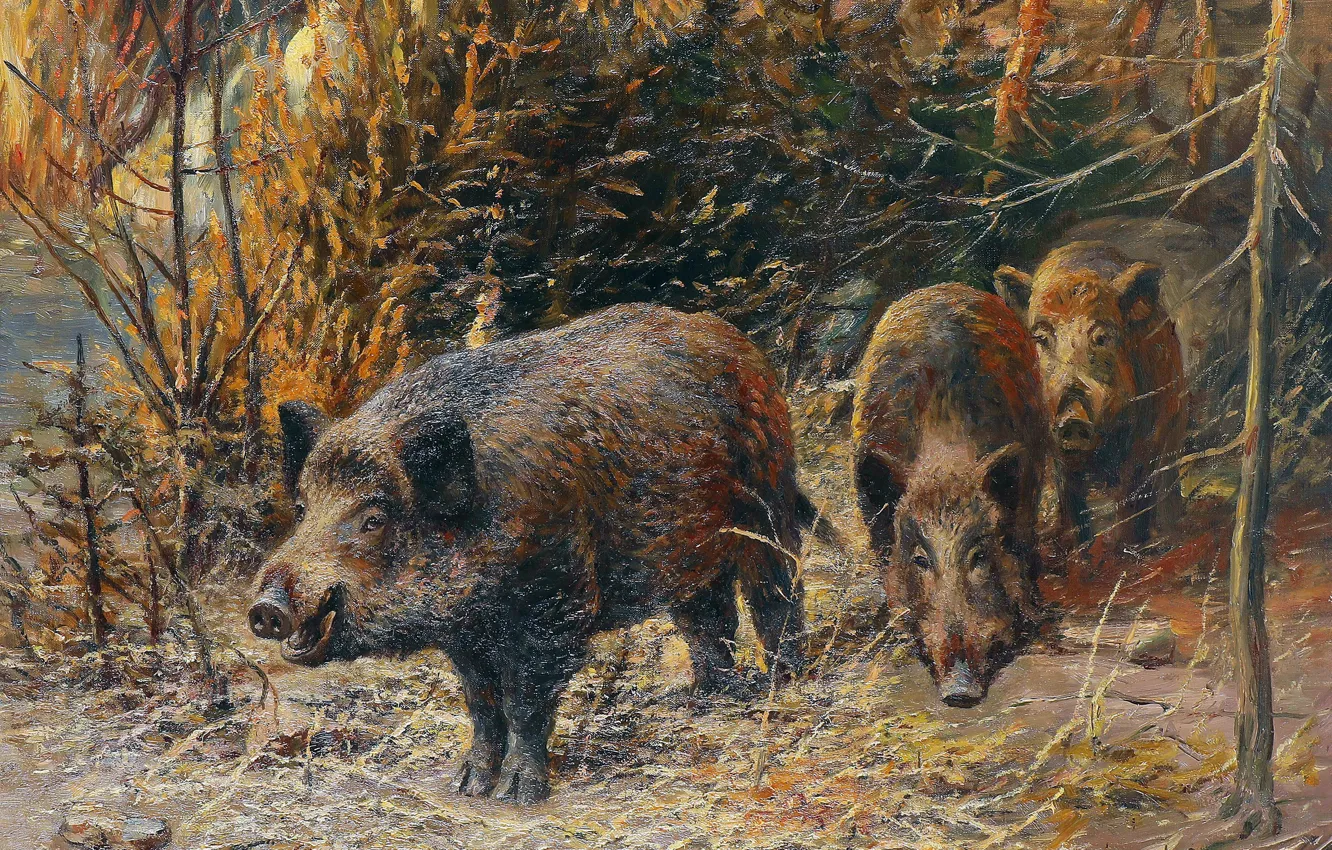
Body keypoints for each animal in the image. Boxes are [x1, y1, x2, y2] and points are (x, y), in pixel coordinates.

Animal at [246, 303, 813, 803]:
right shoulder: (465, 631)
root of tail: (741, 345)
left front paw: (518, 795)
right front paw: (468, 784)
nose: (267, 606)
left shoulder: (555, 603)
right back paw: (706, 700)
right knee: (707, 616)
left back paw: (785, 685)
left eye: (373, 519)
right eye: (302, 507)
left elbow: (524, 702)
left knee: (777, 593)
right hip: (692, 551)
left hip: (770, 500)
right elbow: (482, 703)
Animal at [994, 241, 1186, 551]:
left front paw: (1128, 549)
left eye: (1101, 337)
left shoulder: (1146, 437)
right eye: (1040, 338)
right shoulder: (1056, 448)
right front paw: (1079, 553)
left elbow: (1131, 495)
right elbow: (1073, 504)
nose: (1073, 416)